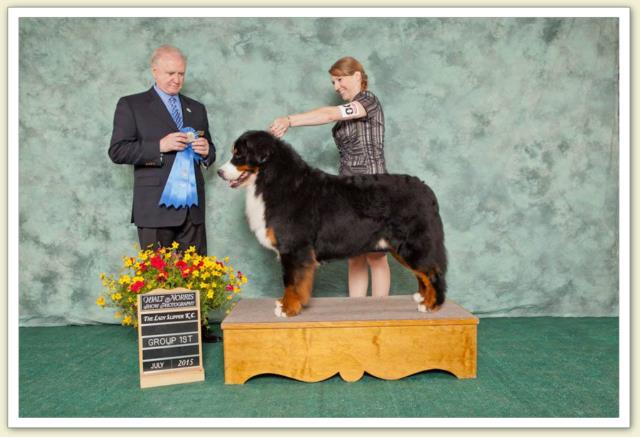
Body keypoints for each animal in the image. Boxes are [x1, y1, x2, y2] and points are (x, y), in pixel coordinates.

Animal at [218, 129, 448, 316]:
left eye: (238, 154)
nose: (219, 172)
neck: (272, 181)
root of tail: (426, 189)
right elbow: (293, 282)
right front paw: (285, 304)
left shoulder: (293, 248)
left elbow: (291, 282)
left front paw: (288, 309)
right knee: (423, 273)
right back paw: (422, 298)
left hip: (413, 243)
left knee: (432, 272)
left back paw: (432, 305)